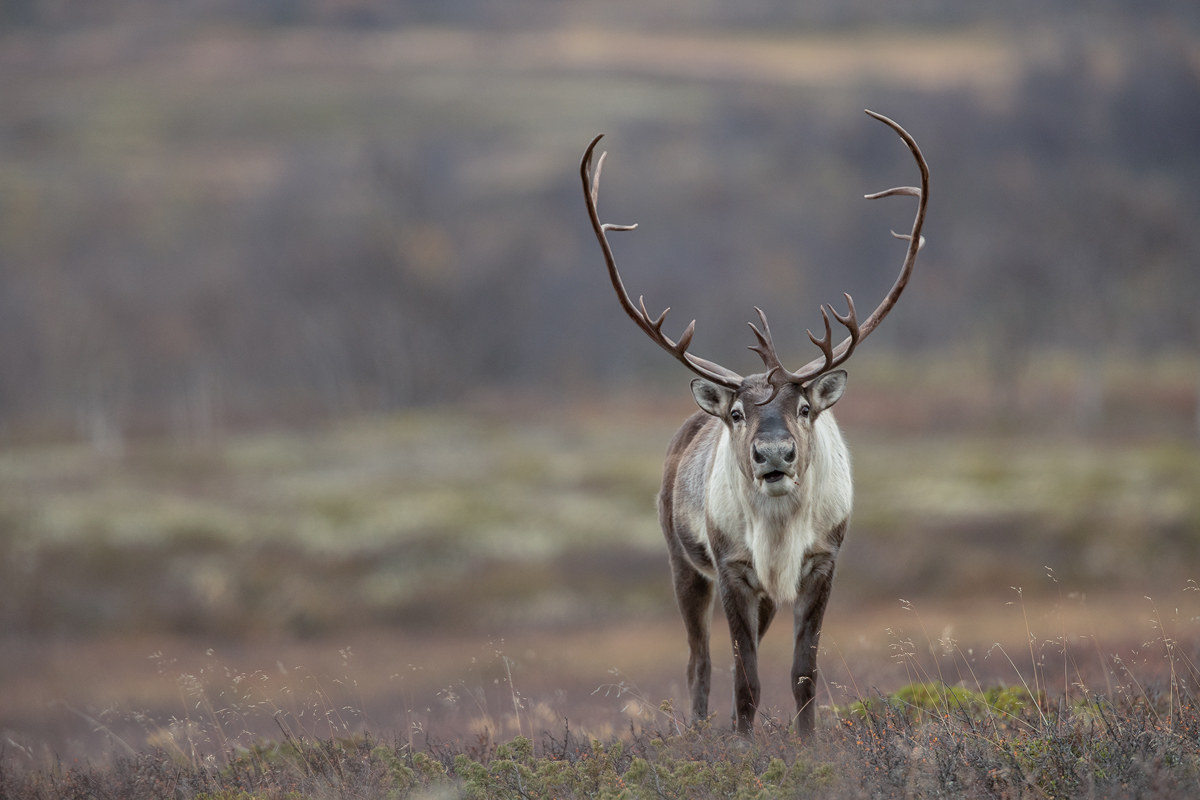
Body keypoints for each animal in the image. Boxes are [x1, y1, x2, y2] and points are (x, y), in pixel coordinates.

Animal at [579, 110, 928, 735]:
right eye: (739, 413)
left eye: (805, 408)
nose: (774, 455)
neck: (780, 531)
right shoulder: (733, 569)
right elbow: (744, 680)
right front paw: (740, 745)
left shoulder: (822, 564)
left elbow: (802, 674)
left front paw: (808, 745)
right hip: (683, 564)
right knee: (699, 660)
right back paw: (698, 730)